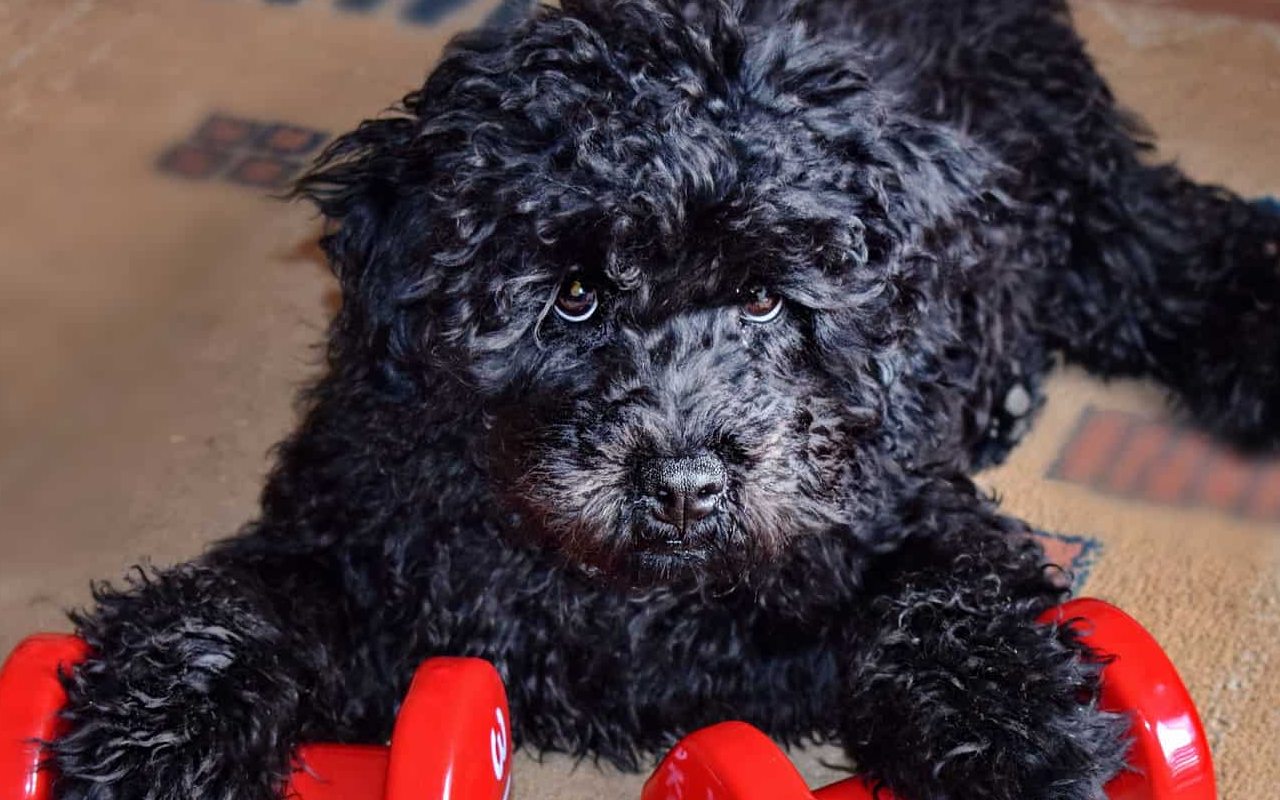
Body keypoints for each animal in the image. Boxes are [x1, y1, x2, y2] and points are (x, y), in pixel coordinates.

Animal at [49, 1, 1280, 798]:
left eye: (766, 298)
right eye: (573, 295)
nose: (685, 484)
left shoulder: (898, 512)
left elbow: (949, 606)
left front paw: (1017, 734)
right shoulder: (355, 539)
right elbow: (240, 604)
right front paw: (149, 733)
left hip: (1086, 210)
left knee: (1194, 257)